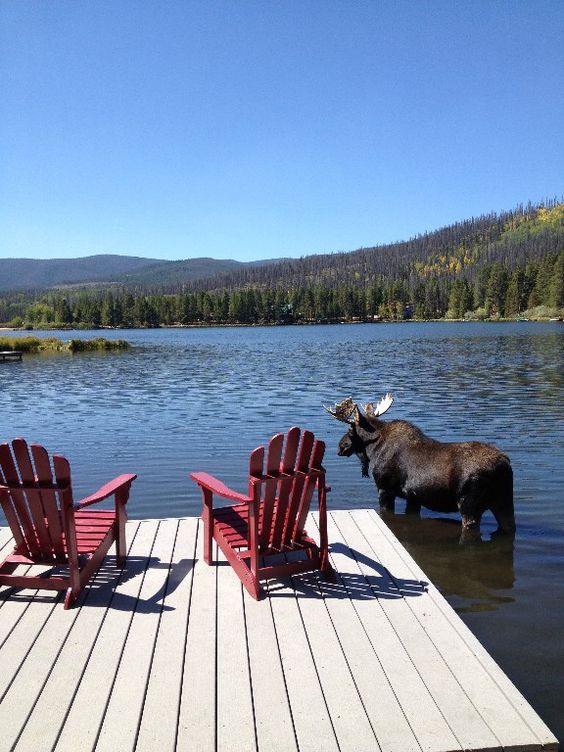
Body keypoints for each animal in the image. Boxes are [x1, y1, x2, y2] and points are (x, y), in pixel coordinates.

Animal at [326, 394, 516, 540]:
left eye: (350, 430)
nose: (340, 447)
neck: (373, 449)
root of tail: (505, 465)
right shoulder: (413, 497)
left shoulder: (384, 489)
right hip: (504, 502)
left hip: (469, 505)